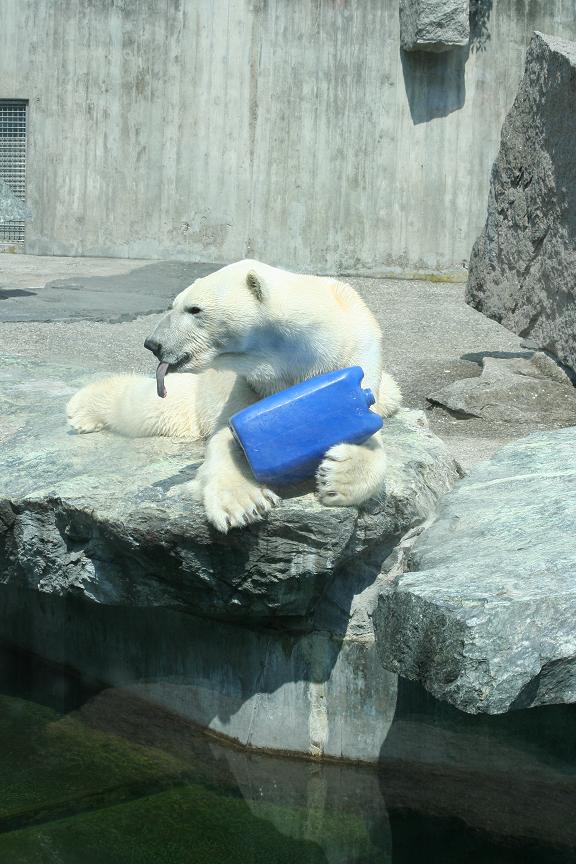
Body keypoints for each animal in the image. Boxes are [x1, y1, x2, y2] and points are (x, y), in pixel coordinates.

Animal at [67, 260, 400, 532]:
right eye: (174, 304)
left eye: (195, 309)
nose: (153, 344)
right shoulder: (249, 382)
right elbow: (228, 434)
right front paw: (245, 503)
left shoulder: (355, 356)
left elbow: (366, 429)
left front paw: (338, 477)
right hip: (198, 394)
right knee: (149, 407)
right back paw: (81, 410)